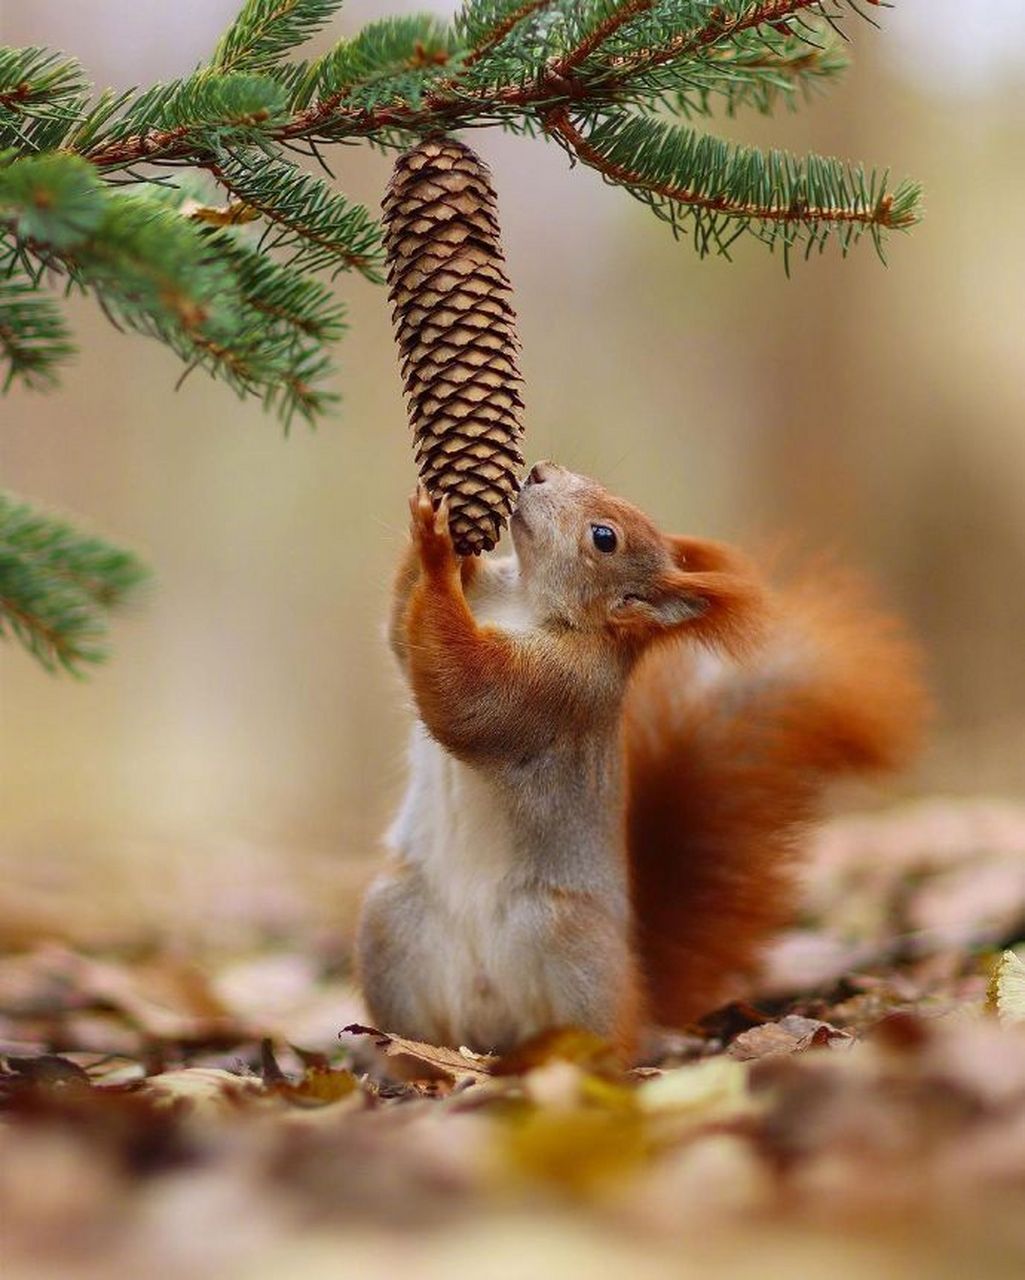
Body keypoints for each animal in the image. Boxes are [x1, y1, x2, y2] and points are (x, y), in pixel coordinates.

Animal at [360, 460, 926, 1059]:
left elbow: (466, 695)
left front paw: (437, 547)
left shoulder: (556, 689)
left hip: (572, 947)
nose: (538, 471)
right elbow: (401, 636)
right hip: (392, 922)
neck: (524, 601)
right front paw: (449, 534)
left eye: (604, 537)